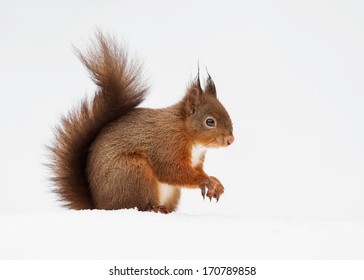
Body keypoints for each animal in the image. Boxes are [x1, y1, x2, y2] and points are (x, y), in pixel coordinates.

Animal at [49, 32, 233, 212]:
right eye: (210, 122)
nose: (231, 140)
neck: (188, 135)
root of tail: (99, 206)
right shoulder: (167, 145)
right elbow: (171, 170)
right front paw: (205, 180)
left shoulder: (195, 160)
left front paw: (215, 182)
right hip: (135, 172)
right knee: (139, 205)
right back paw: (154, 208)